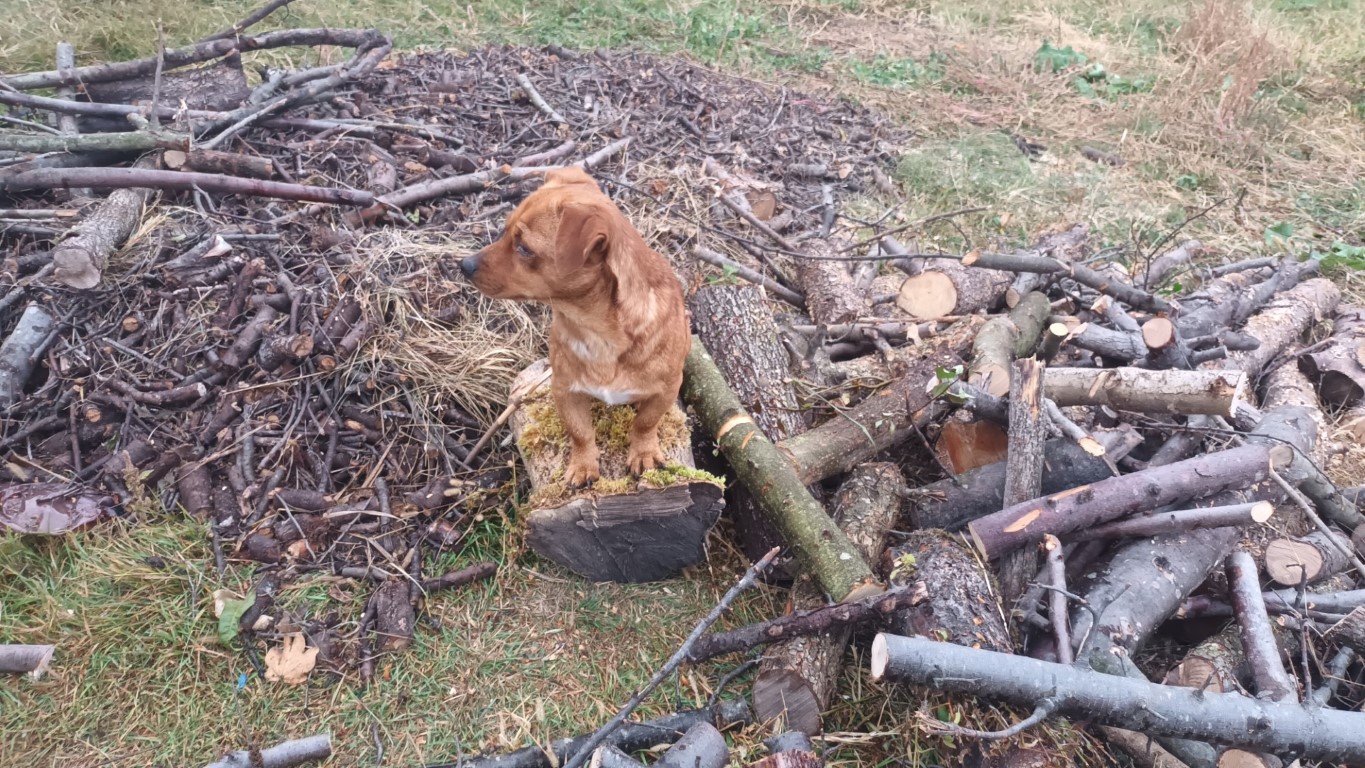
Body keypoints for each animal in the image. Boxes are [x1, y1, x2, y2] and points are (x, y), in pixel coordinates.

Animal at [461, 169, 693, 485]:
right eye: (504, 232)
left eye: (524, 248)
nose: (464, 265)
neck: (597, 331)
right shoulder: (564, 390)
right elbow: (580, 432)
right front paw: (583, 465)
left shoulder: (667, 389)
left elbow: (645, 423)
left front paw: (643, 453)